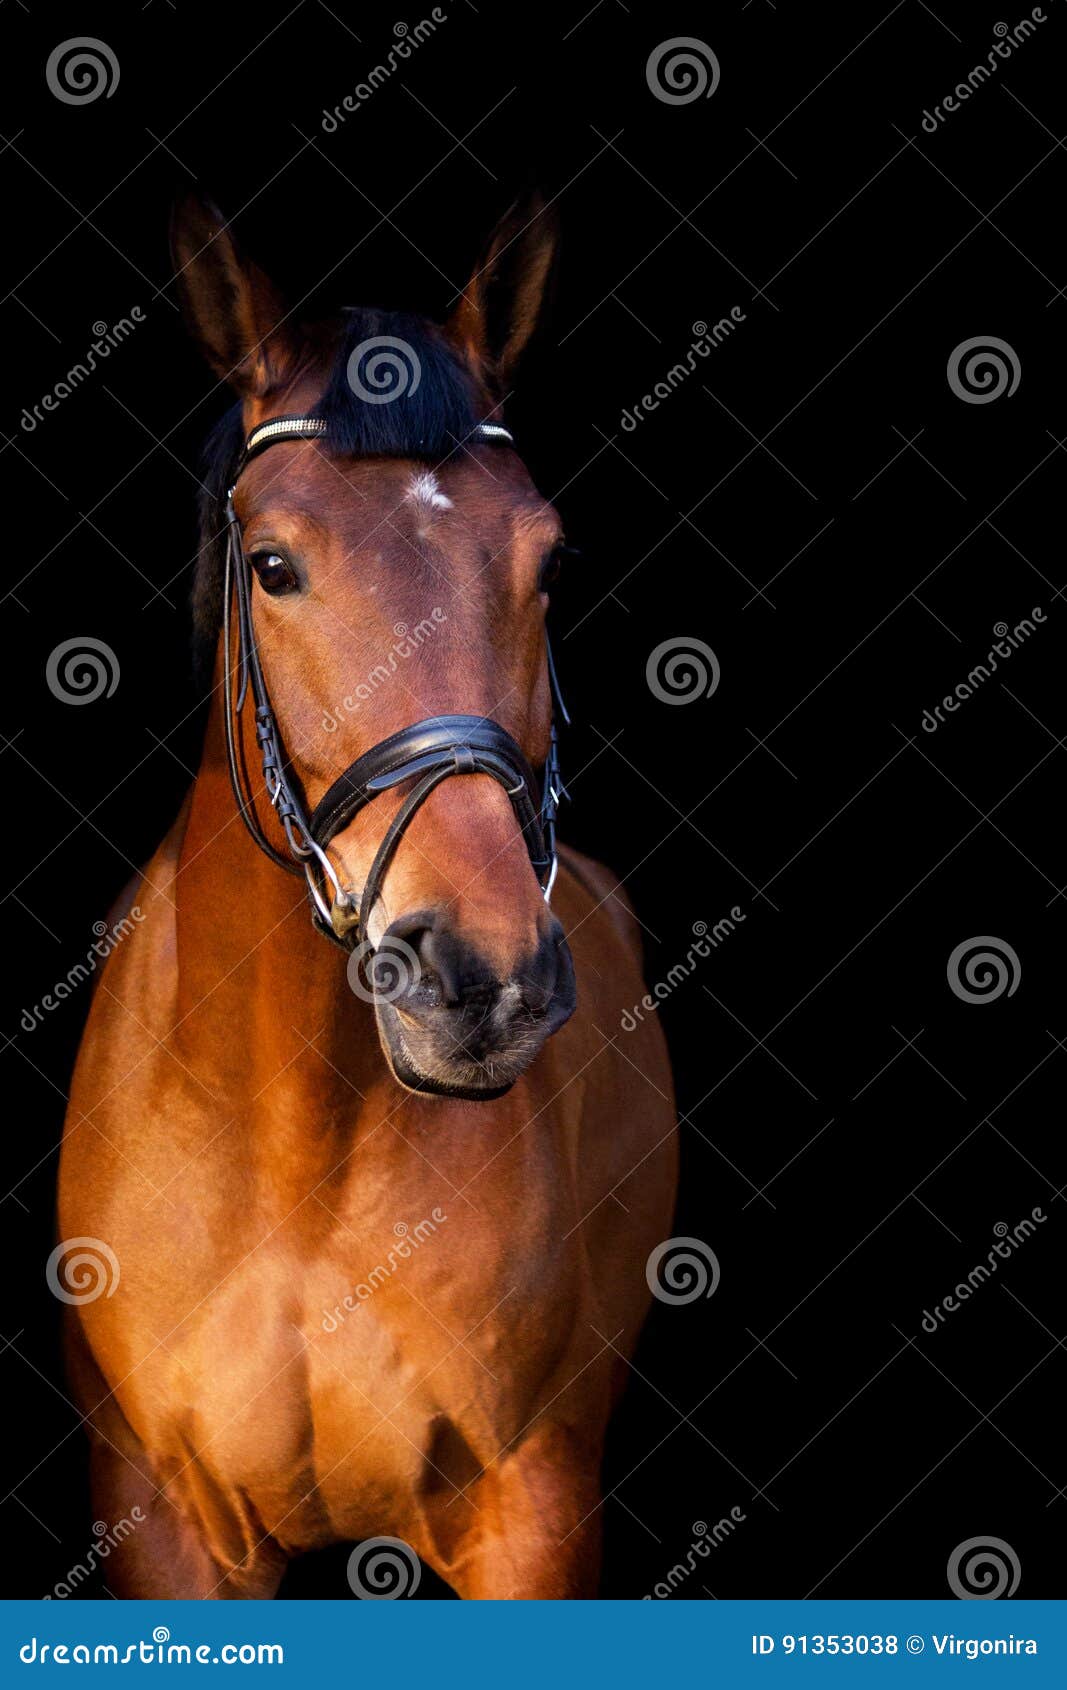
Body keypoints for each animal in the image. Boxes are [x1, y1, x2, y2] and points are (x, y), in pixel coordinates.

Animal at [57, 194, 677, 1599]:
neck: (298, 1152)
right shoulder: (166, 1522)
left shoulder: (529, 1515)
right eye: (275, 565)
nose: (478, 980)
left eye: (548, 560)